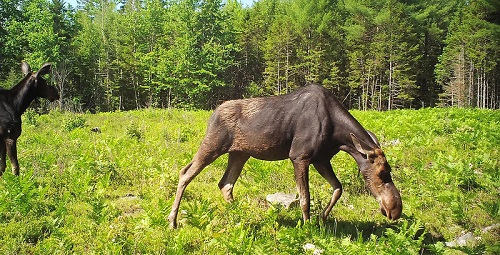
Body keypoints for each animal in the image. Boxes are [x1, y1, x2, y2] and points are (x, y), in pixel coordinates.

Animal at [168, 83, 402, 227]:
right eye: (382, 173)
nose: (395, 210)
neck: (339, 137)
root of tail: (212, 114)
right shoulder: (300, 156)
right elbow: (305, 198)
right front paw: (308, 226)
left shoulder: (321, 159)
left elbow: (338, 188)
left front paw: (322, 218)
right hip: (213, 143)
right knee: (185, 173)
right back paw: (172, 221)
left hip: (239, 153)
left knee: (225, 184)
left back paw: (240, 215)